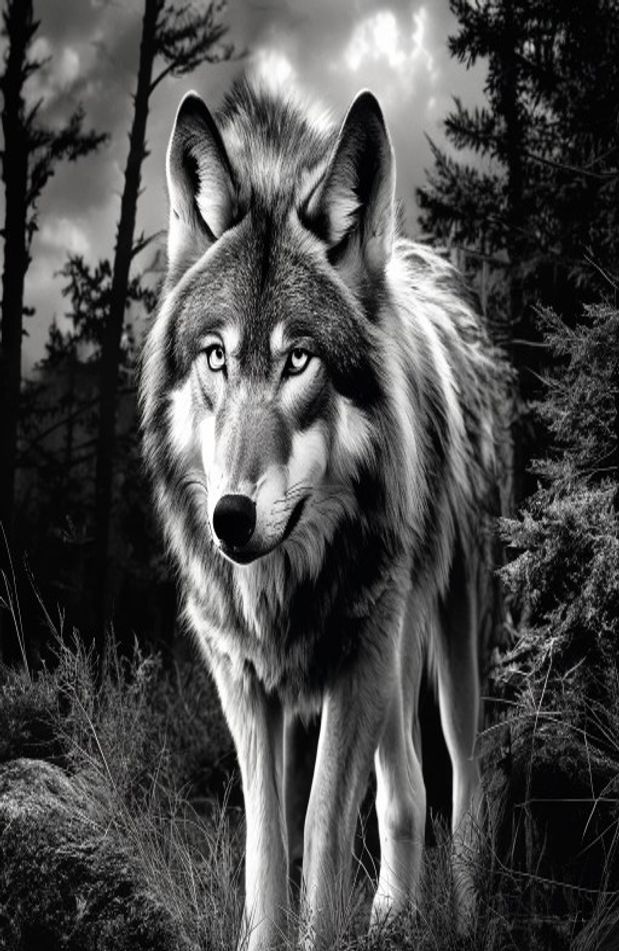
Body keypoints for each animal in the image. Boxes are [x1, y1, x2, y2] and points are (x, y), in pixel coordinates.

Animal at [140, 74, 503, 950]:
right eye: (216, 356)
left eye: (299, 358)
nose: (231, 518)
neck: (283, 584)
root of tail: (421, 262)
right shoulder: (244, 679)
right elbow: (268, 851)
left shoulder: (354, 665)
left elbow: (320, 839)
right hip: (396, 649)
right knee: (405, 790)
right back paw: (393, 915)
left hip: (447, 630)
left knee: (466, 780)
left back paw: (464, 915)